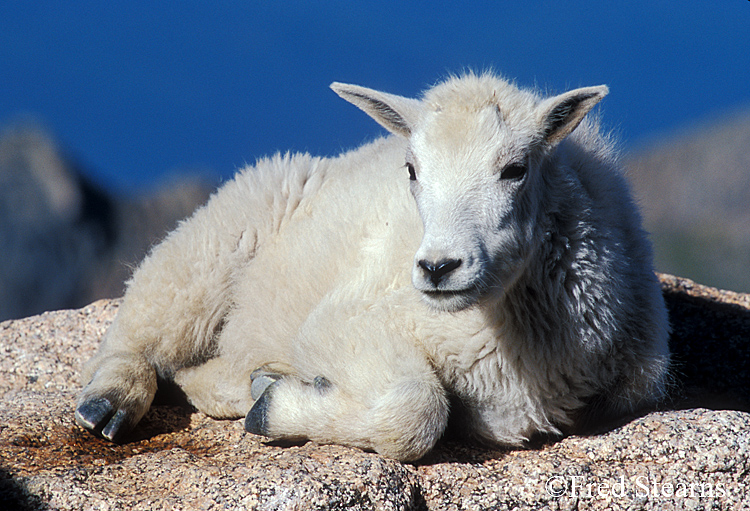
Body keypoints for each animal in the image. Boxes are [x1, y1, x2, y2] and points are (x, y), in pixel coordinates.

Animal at [78, 73, 676, 464]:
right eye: (411, 169)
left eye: (515, 169)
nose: (438, 268)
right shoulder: (347, 319)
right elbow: (417, 410)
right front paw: (274, 409)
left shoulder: (636, 379)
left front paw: (273, 396)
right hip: (218, 239)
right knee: (141, 324)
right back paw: (109, 403)